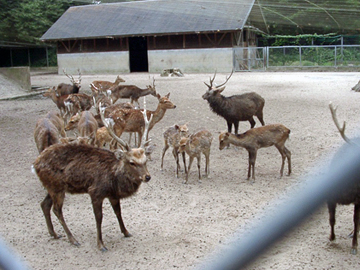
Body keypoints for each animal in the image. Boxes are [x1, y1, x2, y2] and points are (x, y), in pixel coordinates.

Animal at [31, 98, 153, 251]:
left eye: (145, 160)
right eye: (132, 162)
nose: (147, 177)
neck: (114, 178)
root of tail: (35, 164)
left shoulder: (113, 194)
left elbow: (118, 212)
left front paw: (126, 232)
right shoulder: (95, 191)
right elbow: (99, 217)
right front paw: (101, 244)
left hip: (53, 186)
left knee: (44, 204)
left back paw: (53, 233)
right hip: (56, 187)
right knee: (57, 210)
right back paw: (73, 239)